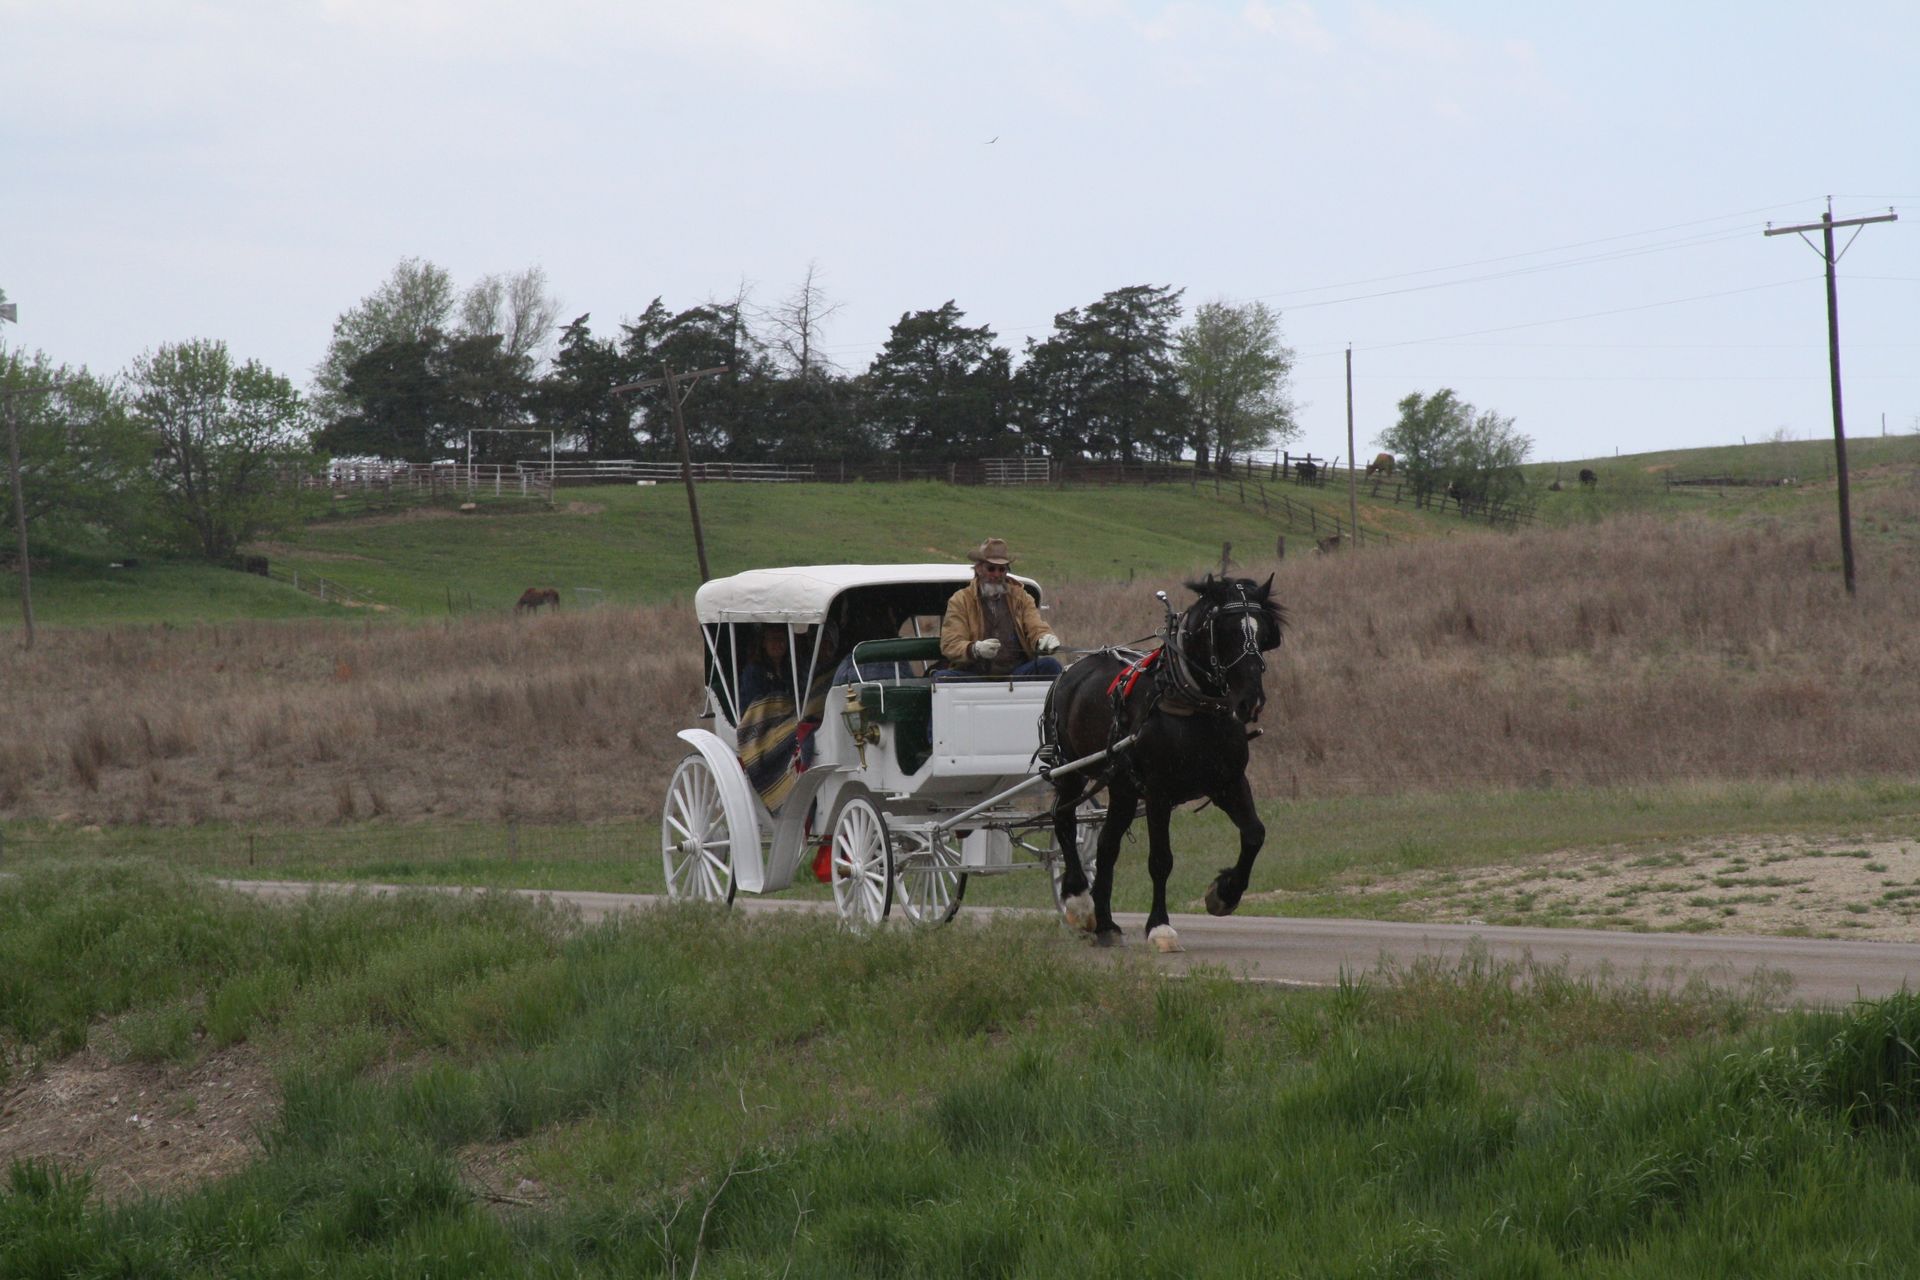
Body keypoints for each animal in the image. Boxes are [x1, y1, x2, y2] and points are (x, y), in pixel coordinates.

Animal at [1042, 575, 1287, 951]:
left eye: (1263, 633)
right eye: (1225, 631)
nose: (1251, 701)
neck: (1194, 705)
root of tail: (1072, 669)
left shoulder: (1229, 783)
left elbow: (1254, 834)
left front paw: (1224, 893)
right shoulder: (1159, 793)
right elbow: (1161, 860)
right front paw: (1160, 927)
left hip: (1123, 787)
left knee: (1106, 845)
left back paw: (1106, 924)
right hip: (1070, 770)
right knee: (1064, 821)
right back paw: (1080, 903)